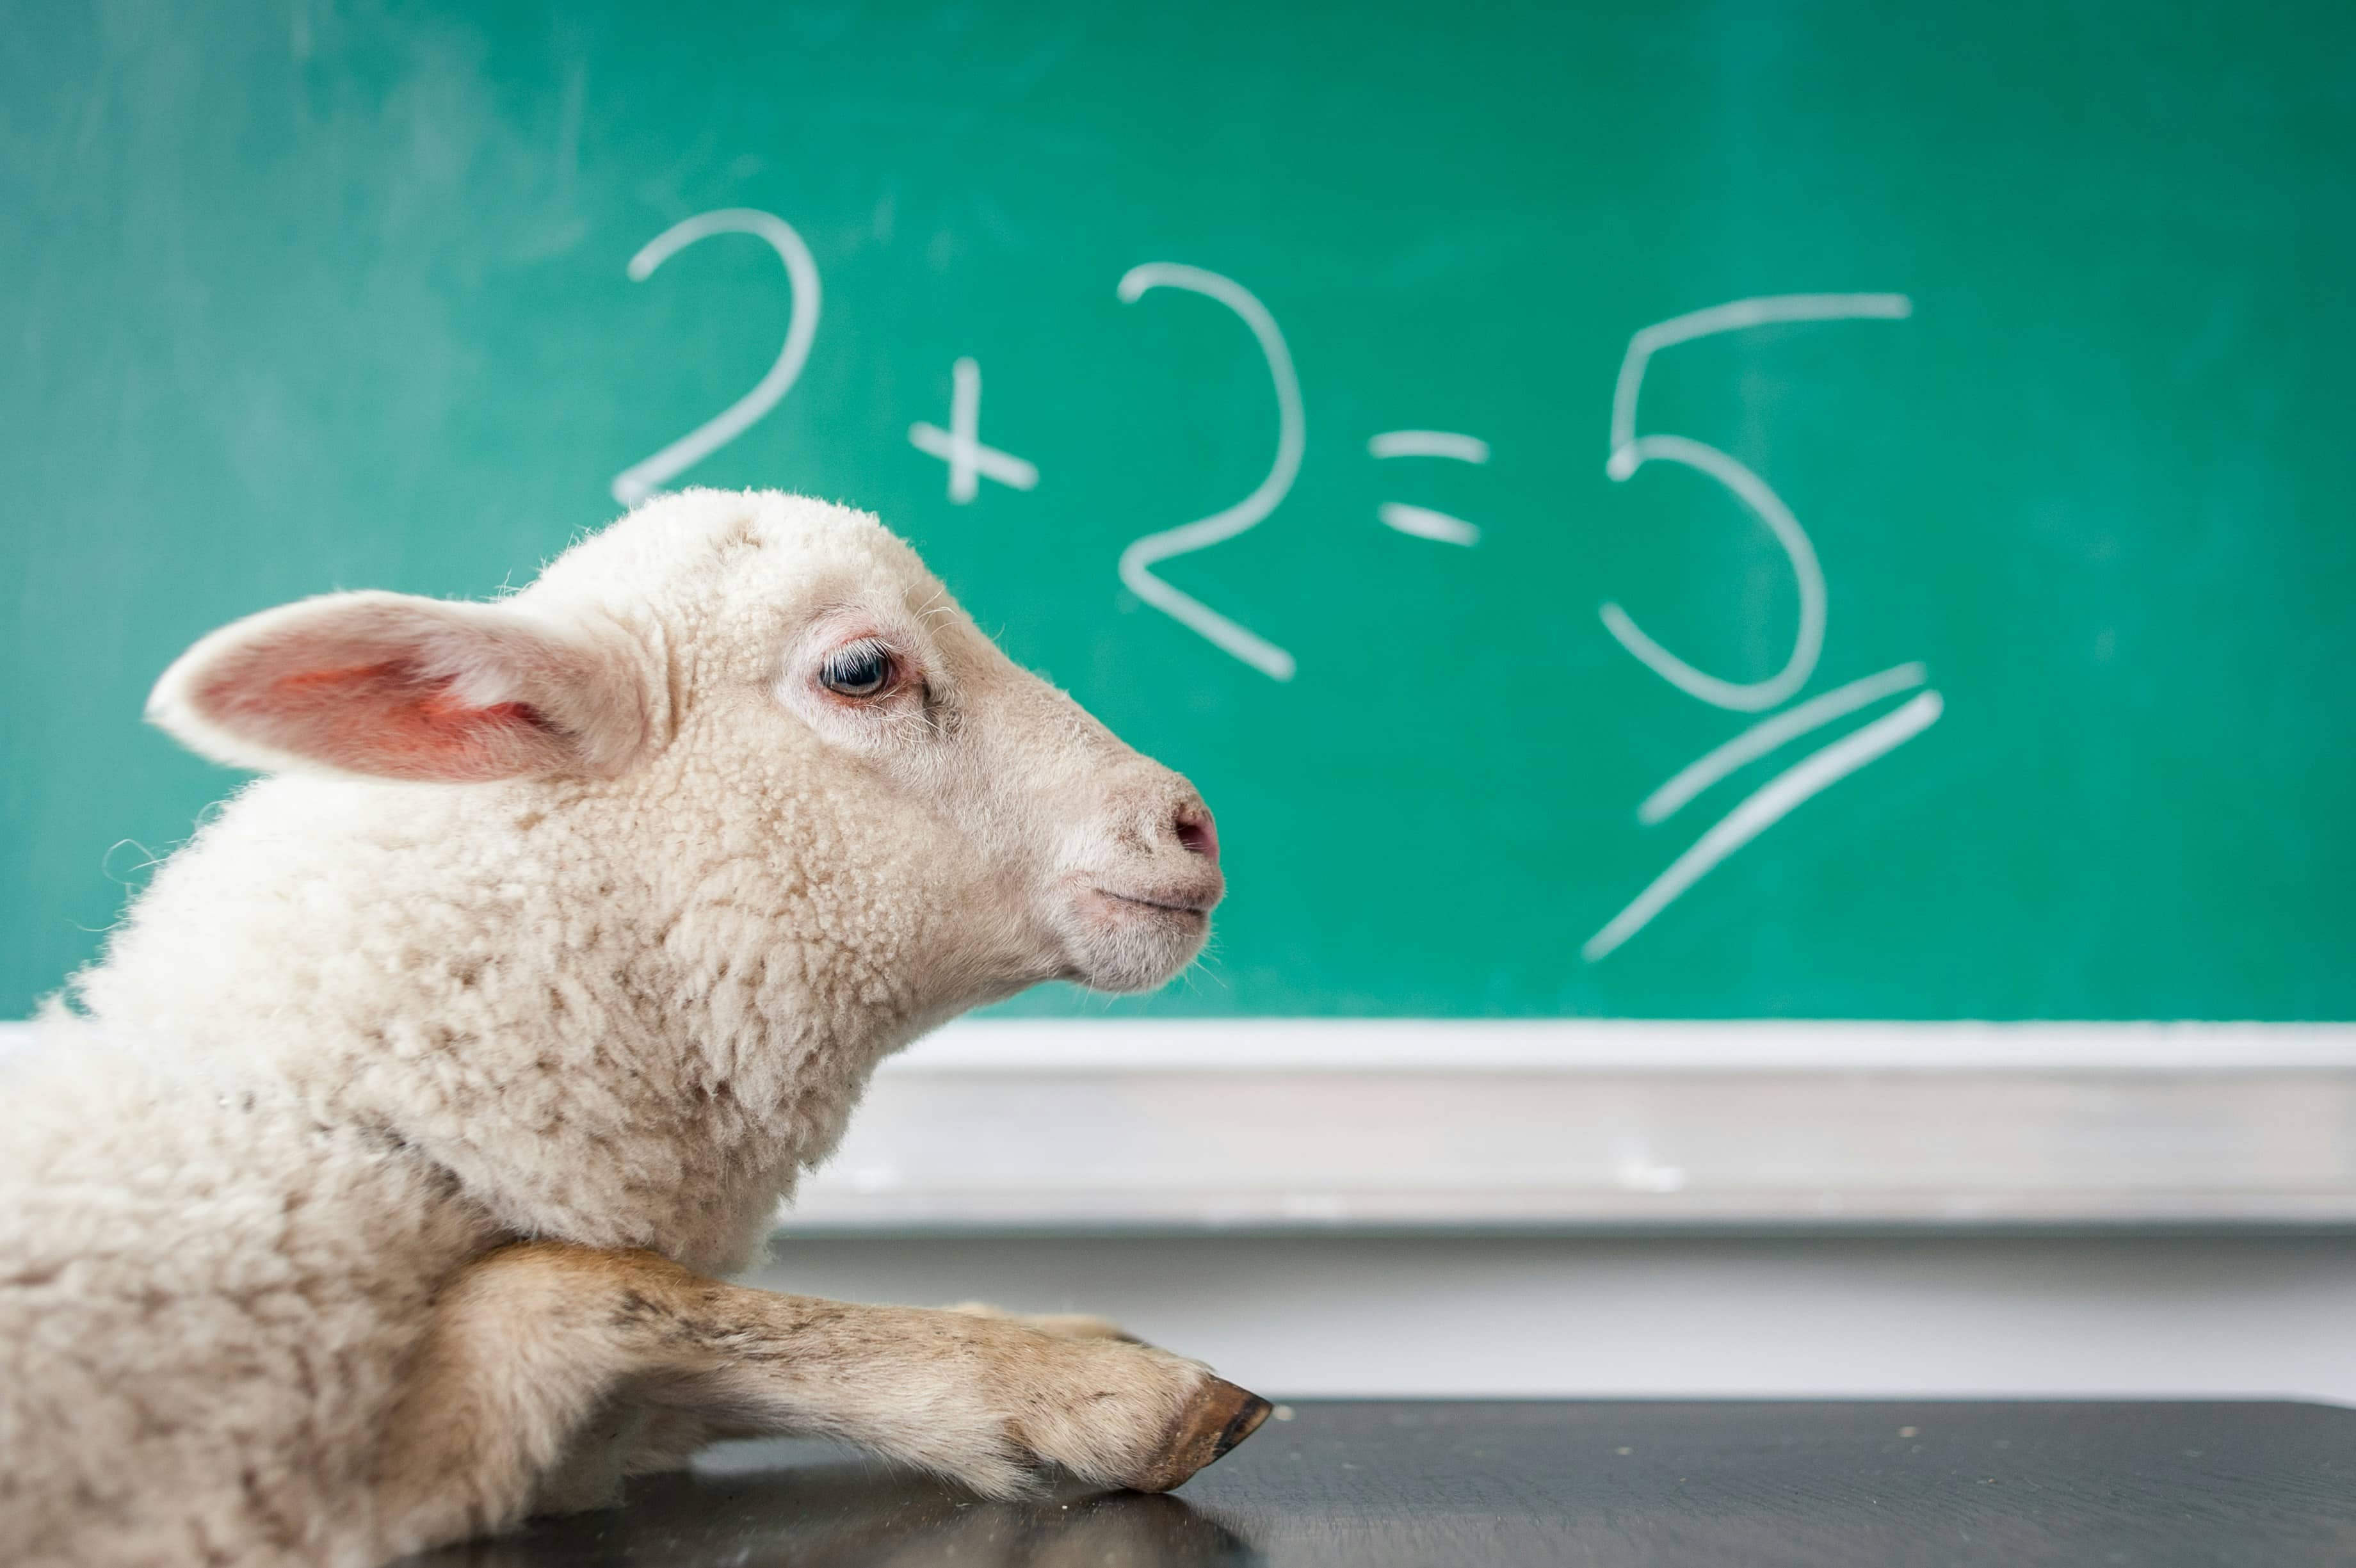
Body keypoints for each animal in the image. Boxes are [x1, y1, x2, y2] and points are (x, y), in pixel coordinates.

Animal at [0, 490, 1272, 1565]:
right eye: (863, 669)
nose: (1194, 823)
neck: (339, 1124)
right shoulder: (301, 1493)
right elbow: (571, 1285)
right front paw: (1097, 1385)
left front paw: (1056, 1340)